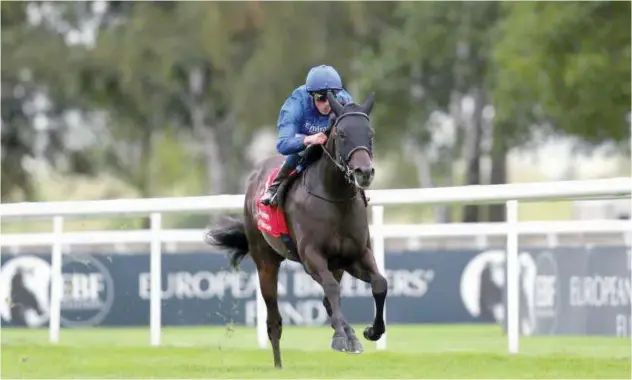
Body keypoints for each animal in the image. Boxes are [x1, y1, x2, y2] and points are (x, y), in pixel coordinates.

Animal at [205, 92, 388, 368]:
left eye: (371, 133)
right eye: (341, 134)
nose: (364, 172)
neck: (334, 198)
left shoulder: (356, 255)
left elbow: (379, 283)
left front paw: (370, 331)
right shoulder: (311, 257)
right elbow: (331, 290)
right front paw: (343, 337)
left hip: (336, 266)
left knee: (328, 300)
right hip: (266, 262)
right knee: (274, 320)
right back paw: (279, 364)